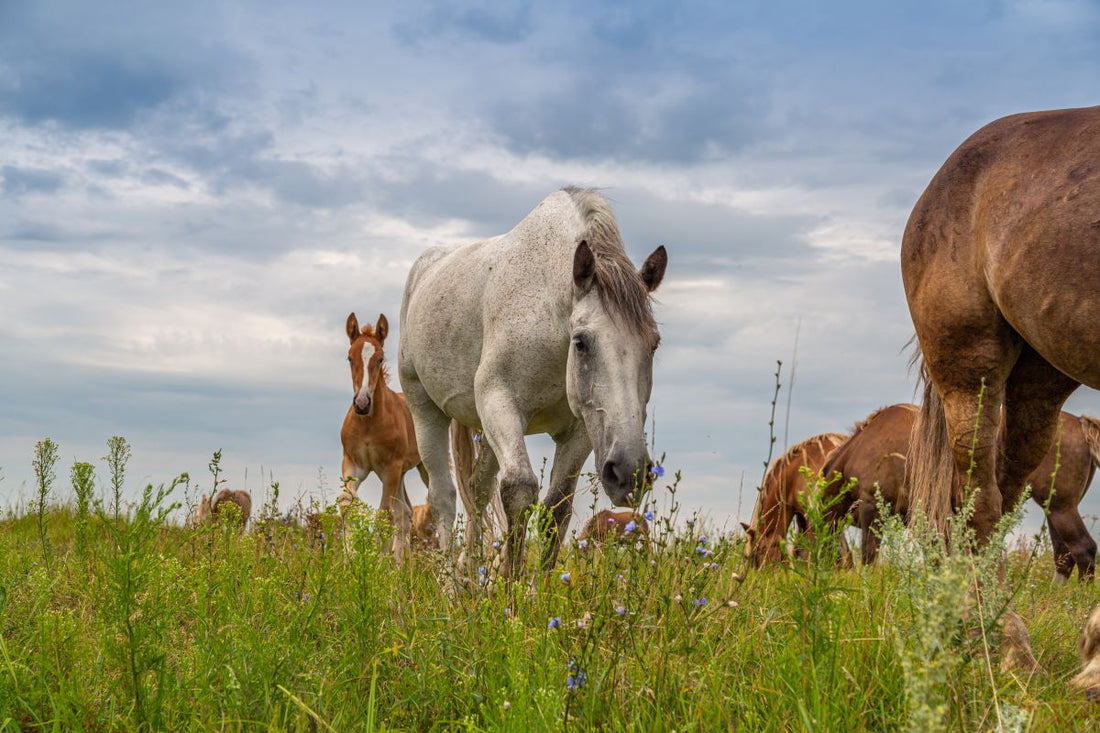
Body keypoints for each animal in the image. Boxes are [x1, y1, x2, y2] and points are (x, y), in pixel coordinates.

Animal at [399, 187, 667, 575]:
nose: (628, 472)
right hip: (426, 411)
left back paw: (471, 577)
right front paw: (509, 587)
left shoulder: (580, 430)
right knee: (444, 497)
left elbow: (556, 509)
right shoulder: (501, 403)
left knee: (477, 492)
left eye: (653, 345)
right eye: (581, 342)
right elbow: (519, 491)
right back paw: (451, 581)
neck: (549, 310)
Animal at [821, 405, 1099, 579]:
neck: (861, 448)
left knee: (1084, 549)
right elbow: (937, 555)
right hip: (1055, 508)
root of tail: (1080, 424)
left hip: (1061, 507)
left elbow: (869, 556)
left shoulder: (872, 507)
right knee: (1064, 556)